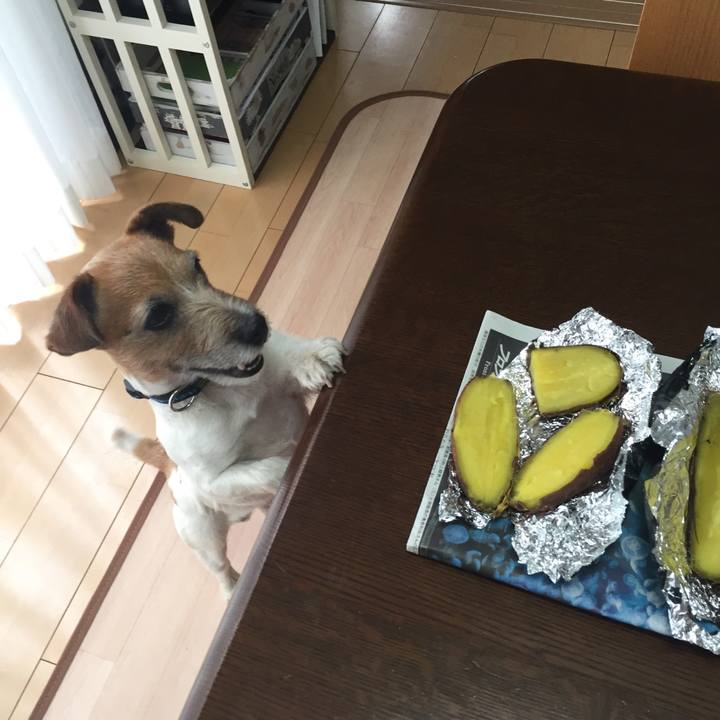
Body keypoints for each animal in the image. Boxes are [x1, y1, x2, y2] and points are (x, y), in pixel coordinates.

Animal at [47, 202, 345, 597]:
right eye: (158, 316)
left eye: (197, 265)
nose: (258, 326)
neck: (213, 389)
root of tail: (167, 468)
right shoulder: (215, 480)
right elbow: (265, 468)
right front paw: (293, 463)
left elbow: (292, 359)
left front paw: (312, 358)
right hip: (204, 537)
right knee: (221, 568)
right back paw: (232, 590)